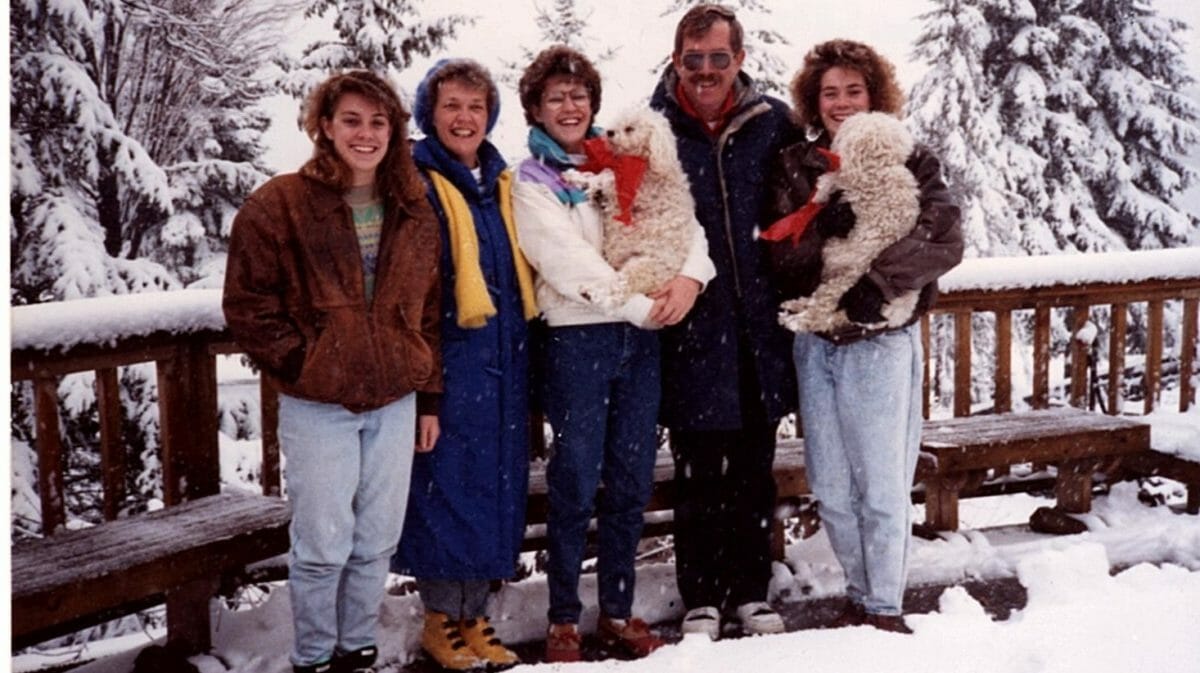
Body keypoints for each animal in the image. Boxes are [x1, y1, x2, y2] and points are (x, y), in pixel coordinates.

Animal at [566, 107, 700, 309]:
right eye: (616, 123)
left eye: (630, 129)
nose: (609, 132)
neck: (643, 163)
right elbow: (603, 176)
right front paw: (585, 183)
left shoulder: (621, 195)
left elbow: (601, 178)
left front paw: (575, 177)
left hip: (643, 266)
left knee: (620, 287)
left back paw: (593, 293)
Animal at [782, 112, 921, 333]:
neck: (878, 165)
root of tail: (894, 315)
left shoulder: (847, 179)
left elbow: (829, 180)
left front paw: (819, 196)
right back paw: (795, 305)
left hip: (841, 281)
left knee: (820, 312)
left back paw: (793, 320)